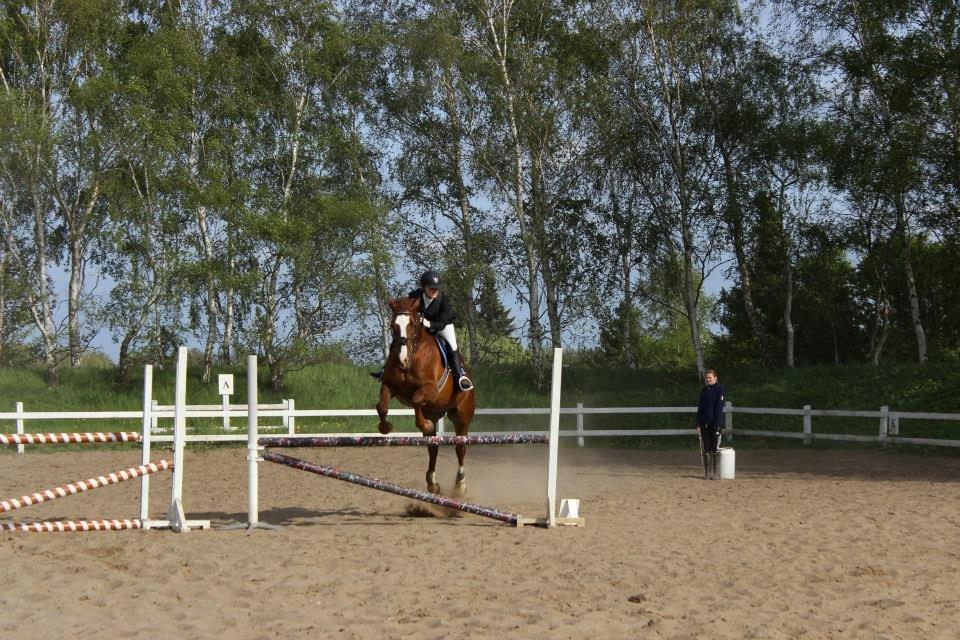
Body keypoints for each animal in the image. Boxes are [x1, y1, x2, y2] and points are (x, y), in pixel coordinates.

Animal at [378, 296, 476, 496]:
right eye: (393, 325)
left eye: (413, 325)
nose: (402, 361)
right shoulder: (389, 386)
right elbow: (382, 406)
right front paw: (385, 428)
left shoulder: (431, 389)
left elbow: (416, 399)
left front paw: (424, 424)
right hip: (435, 412)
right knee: (433, 447)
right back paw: (432, 482)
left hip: (462, 416)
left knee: (460, 447)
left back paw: (460, 485)